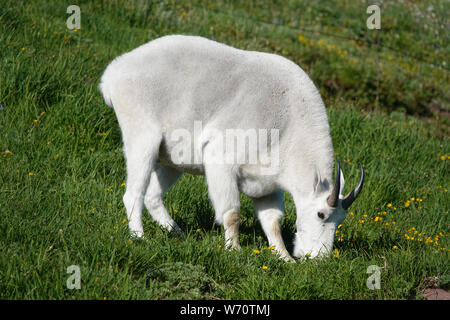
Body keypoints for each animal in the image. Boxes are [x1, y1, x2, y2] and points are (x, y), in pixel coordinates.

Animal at [100, 35, 364, 262]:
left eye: (341, 219)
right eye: (321, 214)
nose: (319, 258)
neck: (287, 123)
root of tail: (113, 74)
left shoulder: (267, 184)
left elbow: (273, 222)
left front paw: (285, 258)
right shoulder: (221, 161)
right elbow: (231, 213)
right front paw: (234, 250)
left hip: (173, 159)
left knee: (153, 196)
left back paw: (179, 233)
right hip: (142, 138)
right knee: (133, 193)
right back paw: (139, 237)